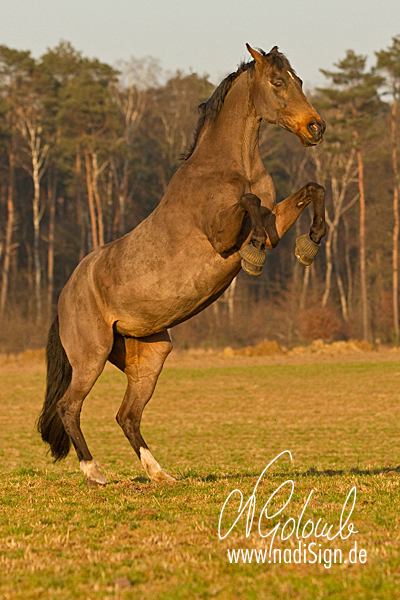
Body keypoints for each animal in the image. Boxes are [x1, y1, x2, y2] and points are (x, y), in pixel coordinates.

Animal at [37, 47, 326, 488]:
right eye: (277, 82)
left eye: (300, 81)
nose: (316, 127)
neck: (230, 167)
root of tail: (63, 297)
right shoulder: (223, 237)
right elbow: (250, 205)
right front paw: (254, 257)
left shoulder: (275, 220)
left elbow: (312, 190)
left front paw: (309, 245)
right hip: (91, 357)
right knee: (70, 407)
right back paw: (95, 473)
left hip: (151, 355)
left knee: (127, 415)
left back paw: (160, 475)